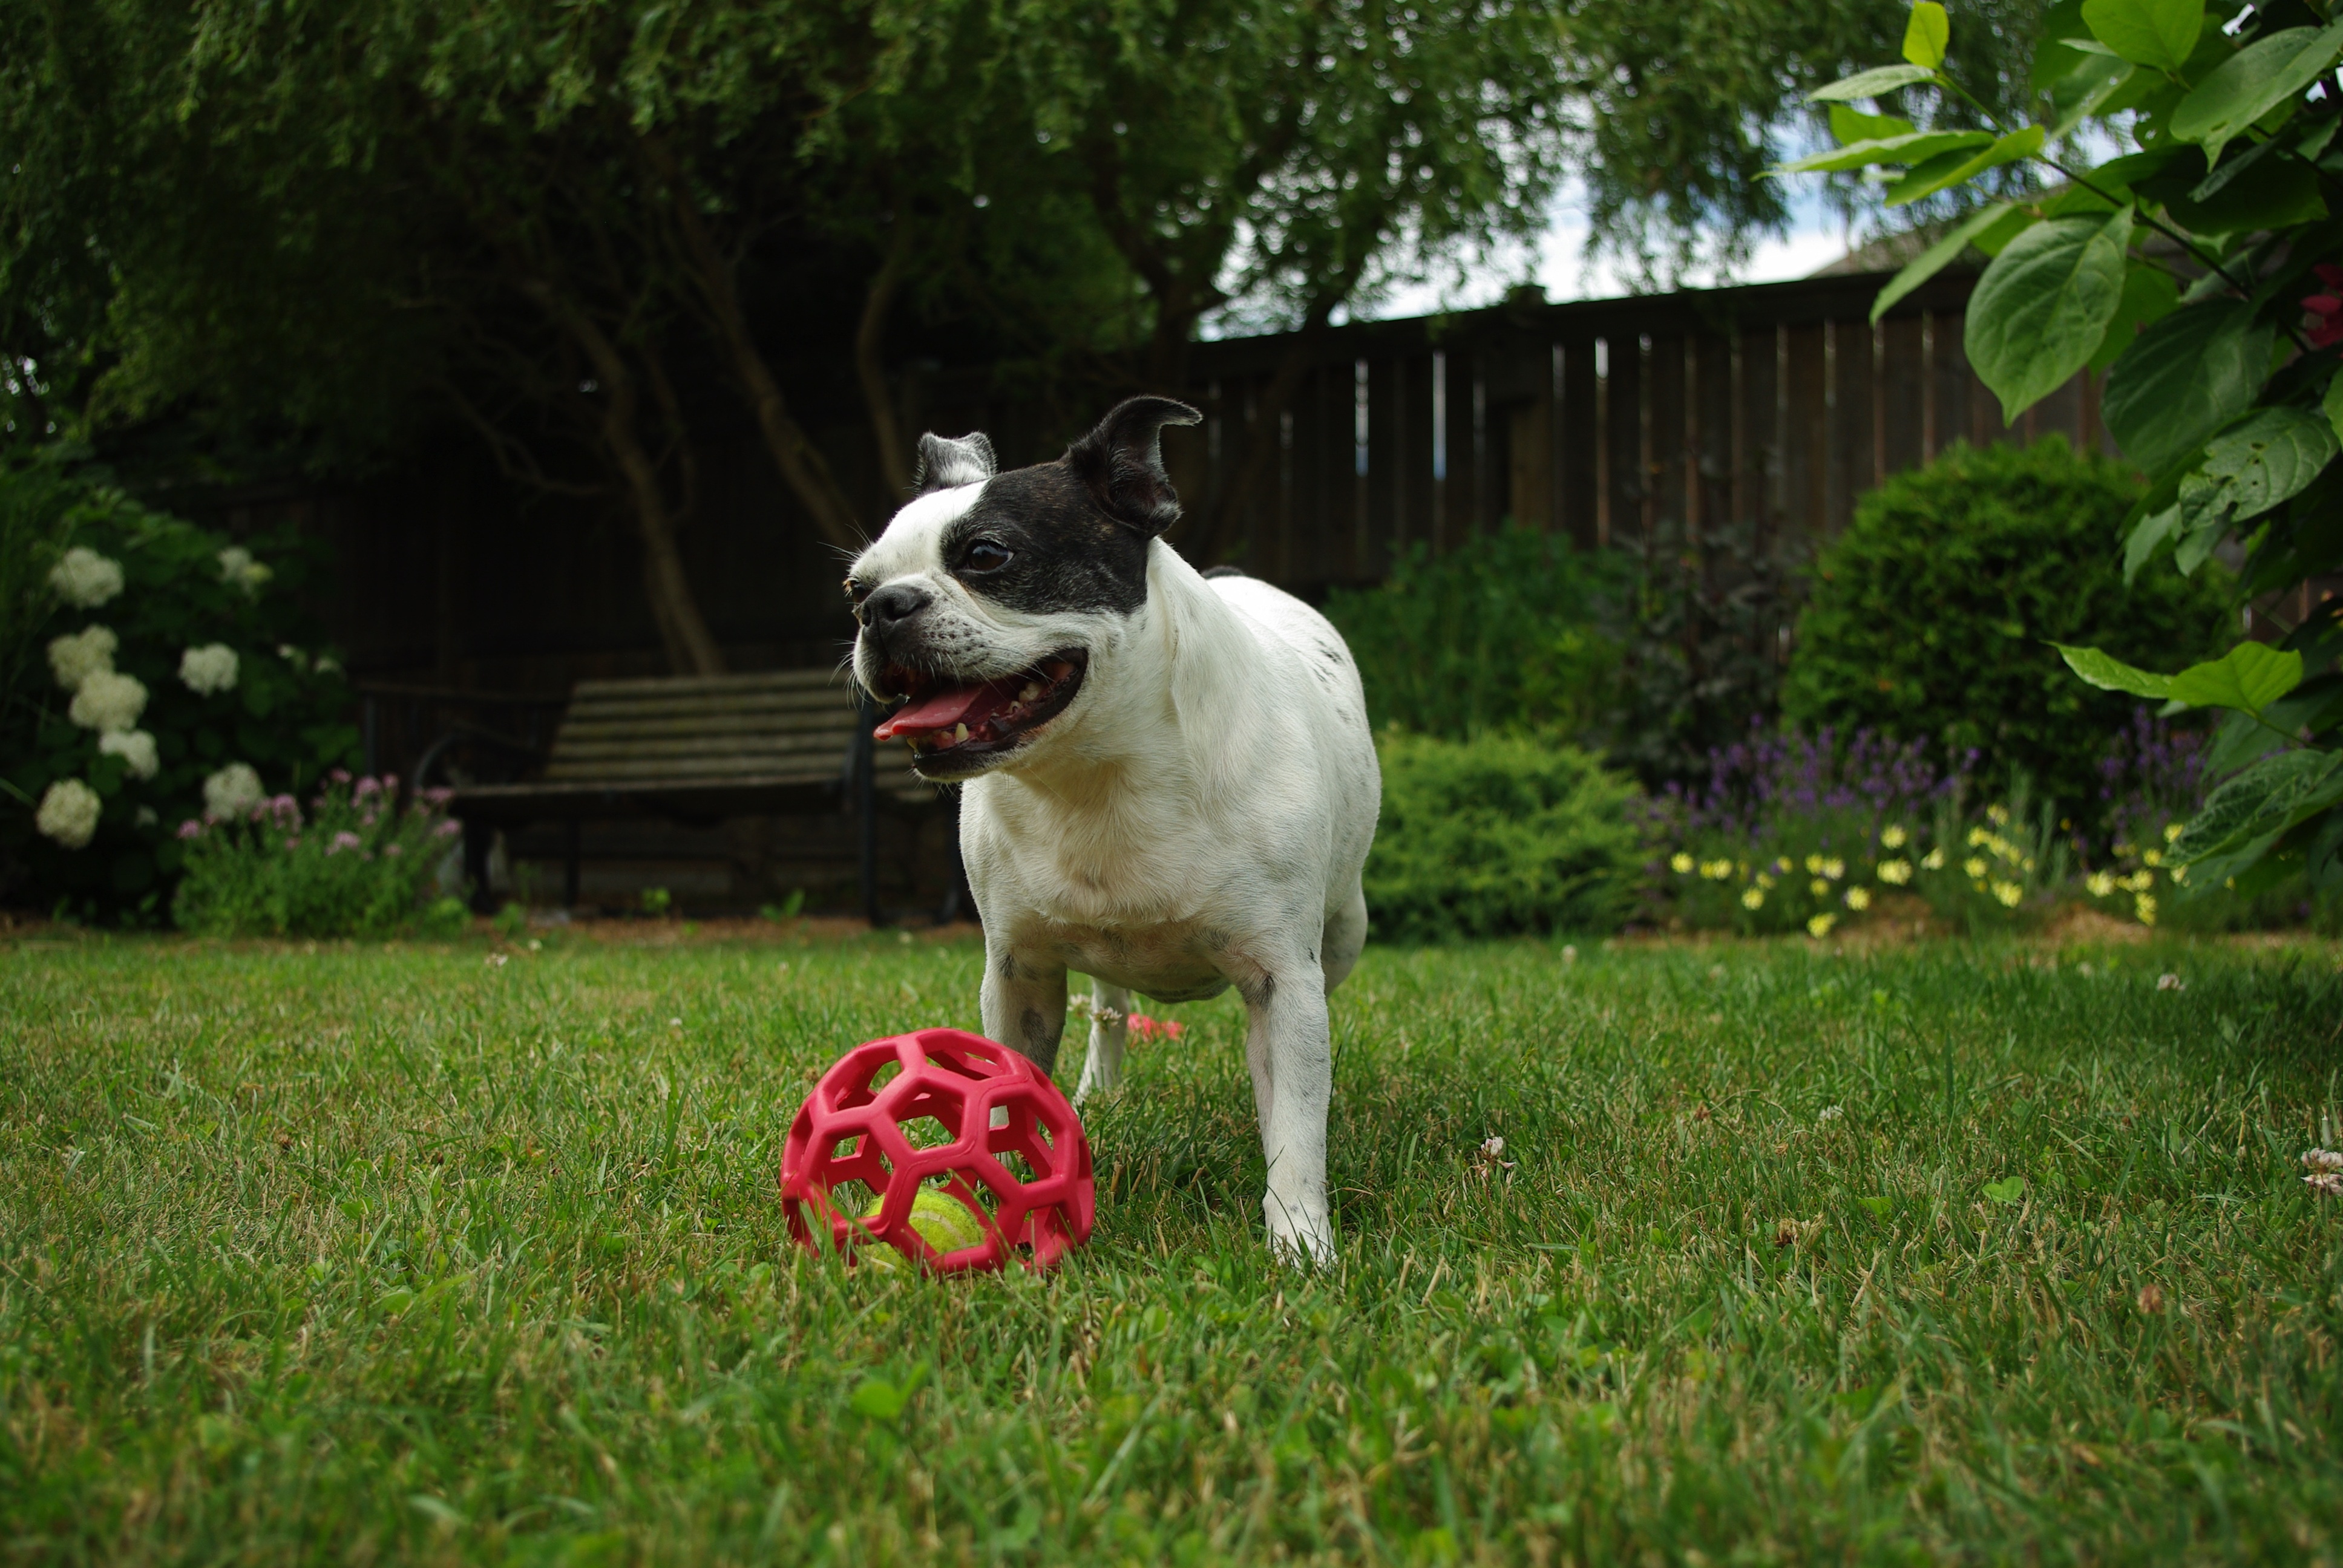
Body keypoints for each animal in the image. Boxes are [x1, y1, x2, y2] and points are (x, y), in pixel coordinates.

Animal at [853, 393, 1377, 1256]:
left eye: (987, 555)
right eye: (854, 583)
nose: (880, 607)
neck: (1095, 775)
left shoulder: (1284, 981)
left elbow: (1297, 1127)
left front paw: (1300, 1243)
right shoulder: (1017, 977)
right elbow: (1002, 1091)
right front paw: (987, 1198)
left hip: (1340, 938)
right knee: (1110, 1008)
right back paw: (1098, 1089)